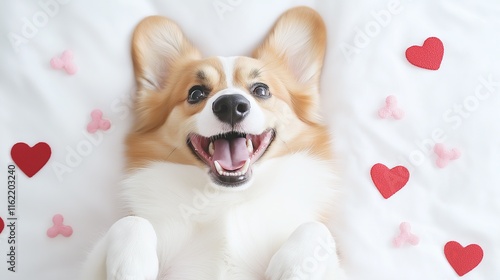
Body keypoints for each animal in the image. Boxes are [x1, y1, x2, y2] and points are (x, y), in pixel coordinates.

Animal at [83, 6, 344, 280]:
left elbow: (318, 228)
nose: (230, 105)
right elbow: (130, 222)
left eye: (261, 90)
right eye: (196, 93)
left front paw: (294, 267)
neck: (225, 200)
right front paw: (132, 265)